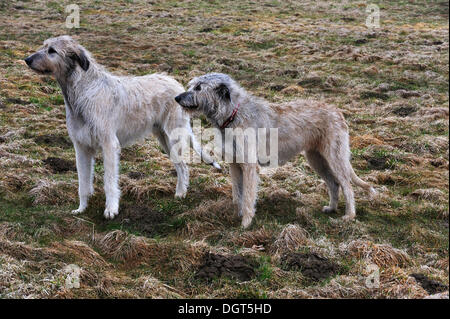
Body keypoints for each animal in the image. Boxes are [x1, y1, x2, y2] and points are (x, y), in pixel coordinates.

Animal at [25, 35, 220, 220]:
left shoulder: (109, 145)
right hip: (163, 138)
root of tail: (178, 85)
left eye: (52, 50)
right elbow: (83, 182)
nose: (27, 59)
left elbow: (110, 181)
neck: (82, 91)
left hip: (173, 136)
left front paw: (111, 209)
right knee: (180, 166)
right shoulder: (81, 147)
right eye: (43, 46)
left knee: (184, 167)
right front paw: (82, 208)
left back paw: (181, 194)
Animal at [176, 73, 376, 228]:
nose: (177, 98)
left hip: (335, 157)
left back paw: (349, 215)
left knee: (347, 185)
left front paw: (246, 222)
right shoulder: (234, 164)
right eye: (192, 85)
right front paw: (238, 214)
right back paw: (332, 208)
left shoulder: (249, 166)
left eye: (199, 88)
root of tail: (337, 111)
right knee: (334, 184)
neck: (234, 115)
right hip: (316, 159)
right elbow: (237, 194)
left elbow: (248, 195)